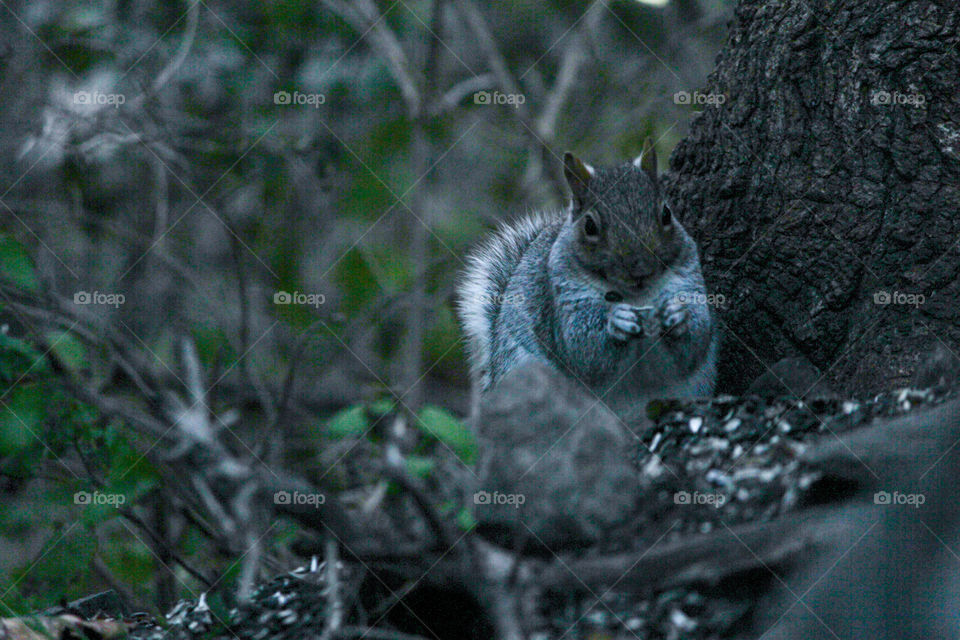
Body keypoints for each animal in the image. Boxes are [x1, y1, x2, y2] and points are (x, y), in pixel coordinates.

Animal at [457, 140, 718, 425]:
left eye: (666, 214)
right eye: (590, 226)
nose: (640, 270)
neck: (636, 296)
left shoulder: (687, 279)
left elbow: (695, 343)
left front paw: (677, 315)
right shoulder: (563, 296)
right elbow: (584, 351)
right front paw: (617, 322)